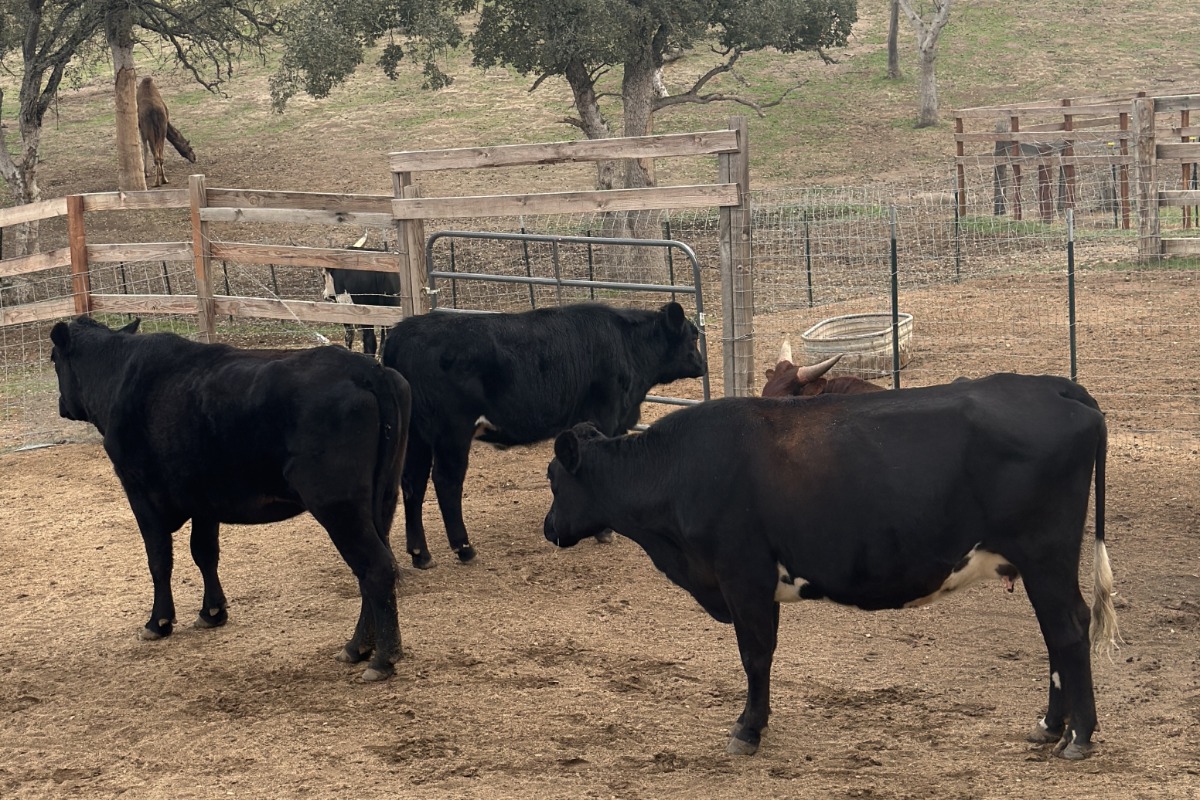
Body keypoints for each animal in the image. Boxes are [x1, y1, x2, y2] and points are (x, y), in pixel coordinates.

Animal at [49, 316, 411, 681]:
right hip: (381, 500)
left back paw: (382, 658)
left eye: (53, 359)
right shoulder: (204, 499)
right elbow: (205, 553)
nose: (62, 405)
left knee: (375, 568)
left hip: (337, 504)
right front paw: (212, 612)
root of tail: (367, 368)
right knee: (373, 568)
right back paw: (357, 647)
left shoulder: (140, 492)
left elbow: (159, 559)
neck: (120, 375)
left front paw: (158, 622)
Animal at [383, 301, 706, 569]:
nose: (702, 365)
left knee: (413, 484)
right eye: (693, 337)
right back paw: (464, 549)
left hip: (417, 436)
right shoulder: (605, 416)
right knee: (446, 482)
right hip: (452, 432)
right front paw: (604, 530)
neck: (626, 344)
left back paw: (421, 554)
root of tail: (404, 331)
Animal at [543, 374, 1118, 759]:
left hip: (1046, 555)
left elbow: (755, 654)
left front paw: (747, 729)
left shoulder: (742, 576)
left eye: (553, 478)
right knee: (1056, 634)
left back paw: (1079, 735)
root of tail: (1052, 387)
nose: (549, 527)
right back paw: (1050, 725)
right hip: (1037, 563)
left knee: (1068, 630)